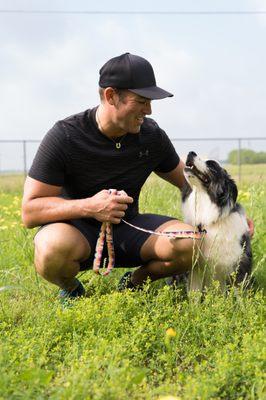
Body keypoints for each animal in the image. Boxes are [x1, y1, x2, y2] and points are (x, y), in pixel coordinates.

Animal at [181, 150, 251, 290]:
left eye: (211, 164)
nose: (191, 152)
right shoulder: (195, 268)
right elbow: (194, 292)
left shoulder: (237, 263)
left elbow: (236, 291)